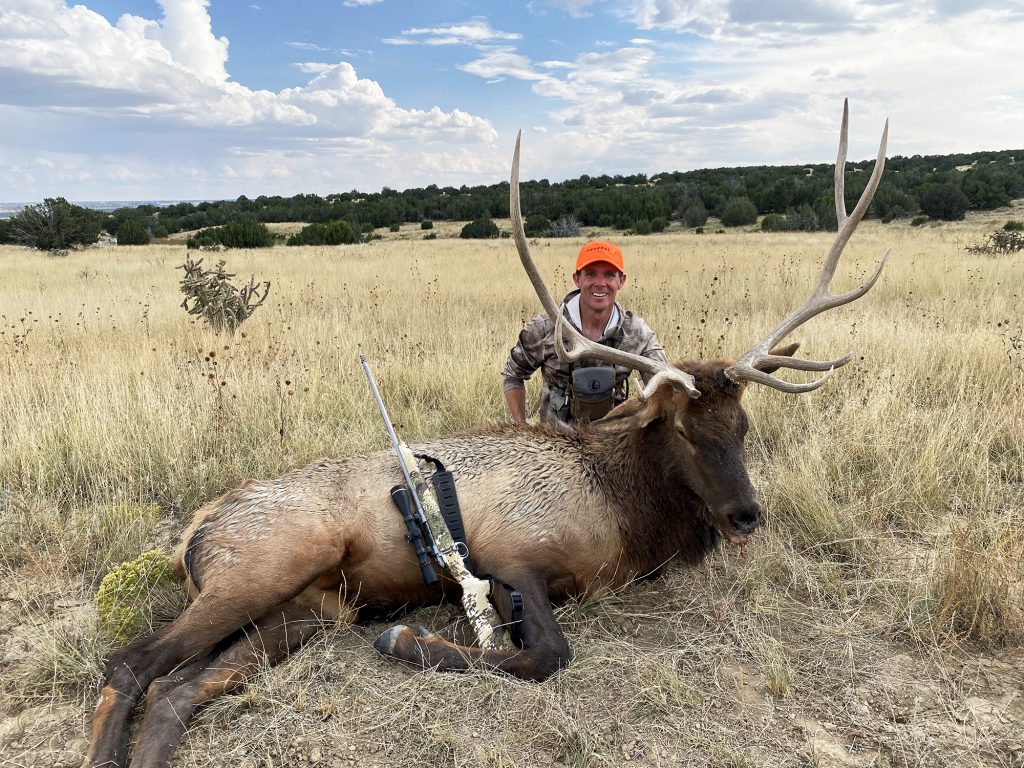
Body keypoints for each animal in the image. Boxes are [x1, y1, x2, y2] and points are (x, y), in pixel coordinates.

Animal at [81, 102, 888, 768]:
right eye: (685, 430)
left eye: (743, 424)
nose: (746, 514)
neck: (626, 516)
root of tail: (192, 534)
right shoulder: (508, 553)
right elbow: (546, 654)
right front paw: (408, 638)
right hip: (265, 565)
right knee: (129, 664)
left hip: (311, 607)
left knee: (177, 689)